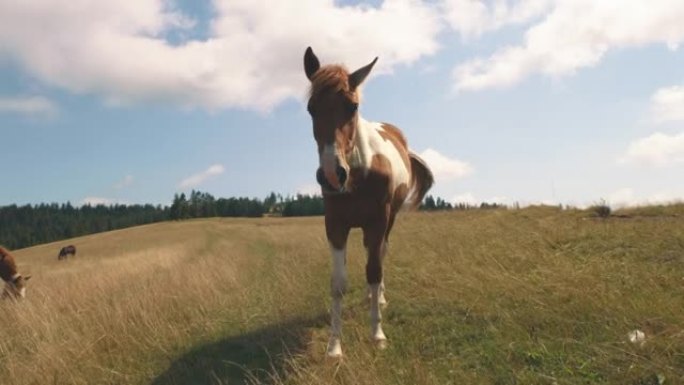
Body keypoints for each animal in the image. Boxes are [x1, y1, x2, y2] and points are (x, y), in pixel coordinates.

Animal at [304, 46, 432, 356]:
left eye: (353, 107)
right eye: (311, 108)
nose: (331, 174)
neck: (359, 173)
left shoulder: (377, 221)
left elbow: (374, 272)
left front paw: (377, 334)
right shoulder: (335, 226)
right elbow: (338, 283)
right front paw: (334, 346)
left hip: (388, 221)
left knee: (381, 254)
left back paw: (380, 298)